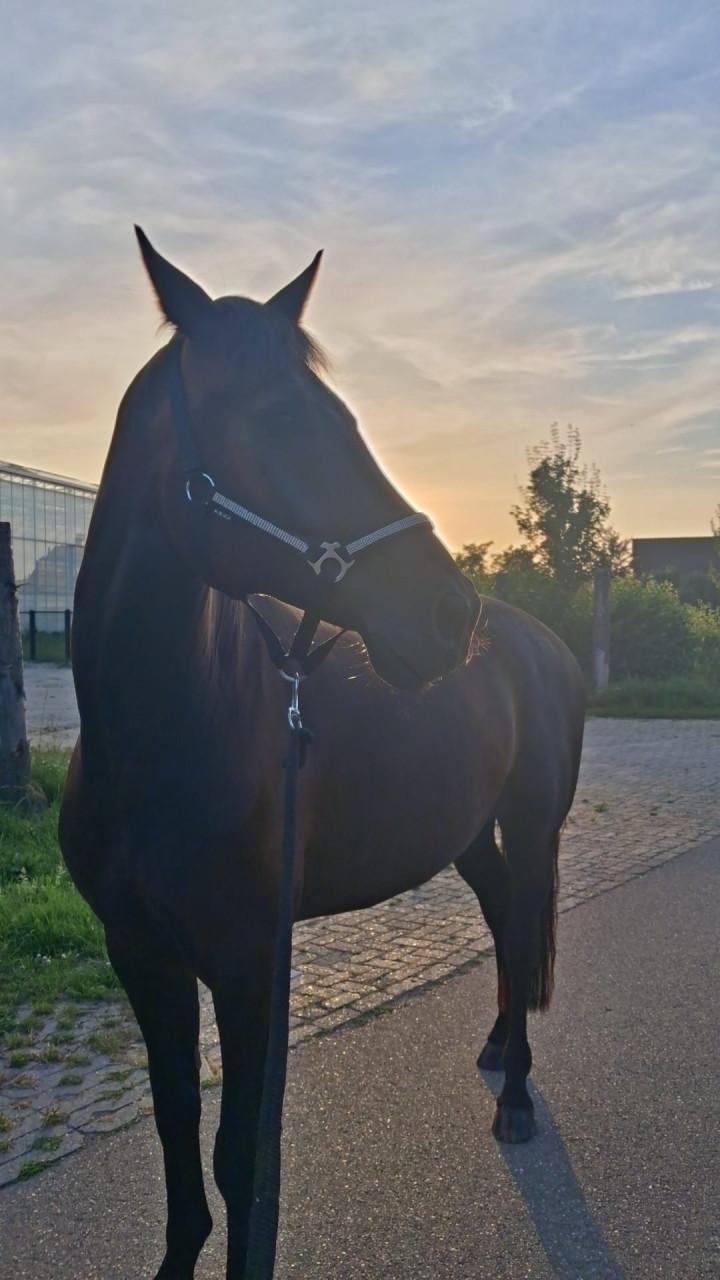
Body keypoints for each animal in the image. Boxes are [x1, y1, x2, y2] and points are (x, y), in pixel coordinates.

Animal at [59, 229, 585, 1280]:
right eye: (275, 419)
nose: (448, 613)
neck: (156, 742)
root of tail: (539, 642)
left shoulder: (247, 962)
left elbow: (240, 1158)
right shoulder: (141, 954)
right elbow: (176, 1128)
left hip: (531, 825)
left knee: (522, 924)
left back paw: (515, 1098)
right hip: (469, 835)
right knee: (505, 920)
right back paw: (497, 1051)